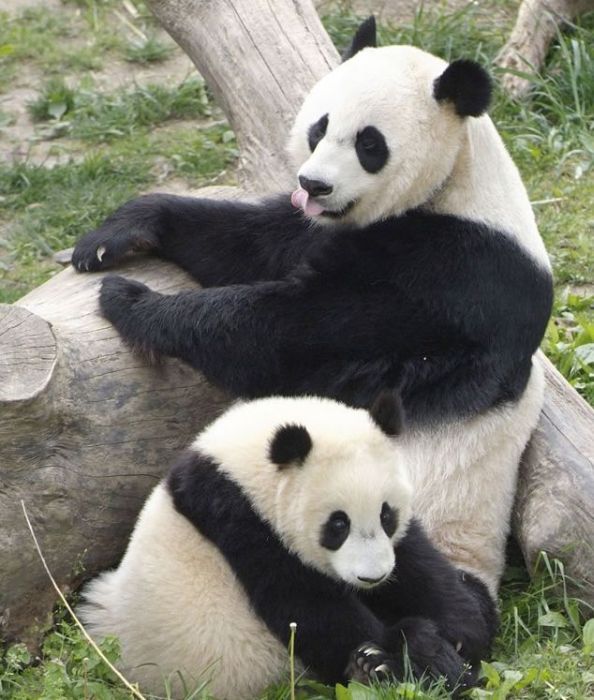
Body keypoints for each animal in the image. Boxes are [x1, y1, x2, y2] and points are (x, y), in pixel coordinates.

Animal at [73, 19, 552, 608]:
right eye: (319, 127)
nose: (313, 184)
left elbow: (288, 333)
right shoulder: (333, 230)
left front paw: (133, 300)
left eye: (370, 143)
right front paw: (117, 234)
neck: (457, 183)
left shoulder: (456, 276)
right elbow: (252, 243)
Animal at [78, 392, 494, 696]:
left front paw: (456, 636)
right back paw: (372, 667)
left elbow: (418, 566)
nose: (372, 578)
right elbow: (308, 609)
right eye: (337, 525)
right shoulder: (237, 516)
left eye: (386, 515)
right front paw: (416, 657)